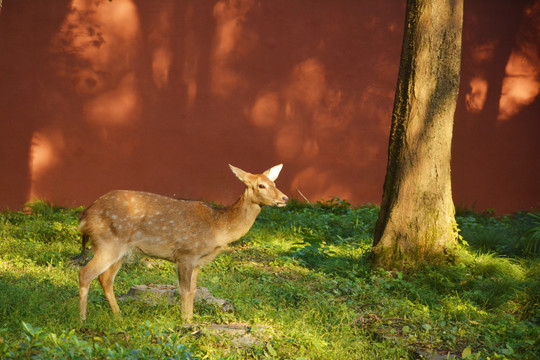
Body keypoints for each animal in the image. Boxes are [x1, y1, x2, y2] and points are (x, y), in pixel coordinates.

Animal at [78, 164, 288, 320]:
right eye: (261, 185)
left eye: (274, 182)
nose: (284, 198)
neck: (217, 227)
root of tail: (85, 217)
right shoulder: (186, 253)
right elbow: (184, 291)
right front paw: (185, 324)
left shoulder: (197, 261)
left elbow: (193, 290)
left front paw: (190, 320)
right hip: (108, 243)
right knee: (85, 273)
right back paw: (82, 319)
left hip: (121, 250)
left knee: (105, 279)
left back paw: (119, 316)